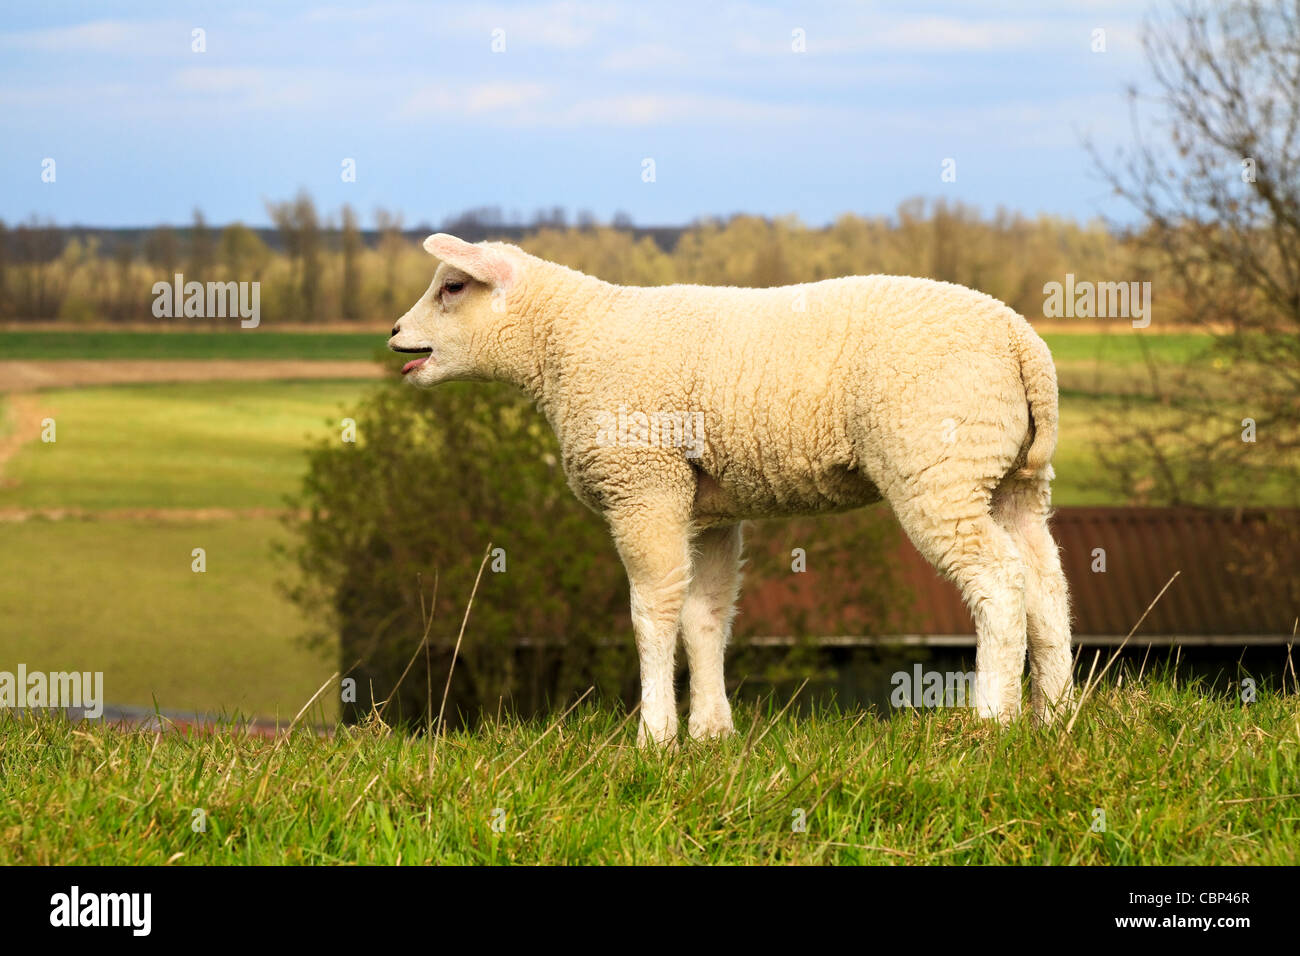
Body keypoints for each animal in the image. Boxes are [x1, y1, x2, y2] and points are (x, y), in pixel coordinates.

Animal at [390, 233, 1074, 746]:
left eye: (453, 287)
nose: (396, 334)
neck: (564, 342)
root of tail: (1021, 341)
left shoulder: (645, 483)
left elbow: (652, 612)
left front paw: (655, 736)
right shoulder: (708, 508)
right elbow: (705, 616)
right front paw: (711, 732)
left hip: (938, 465)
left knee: (998, 579)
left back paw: (993, 719)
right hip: (1012, 477)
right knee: (1045, 582)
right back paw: (1055, 717)